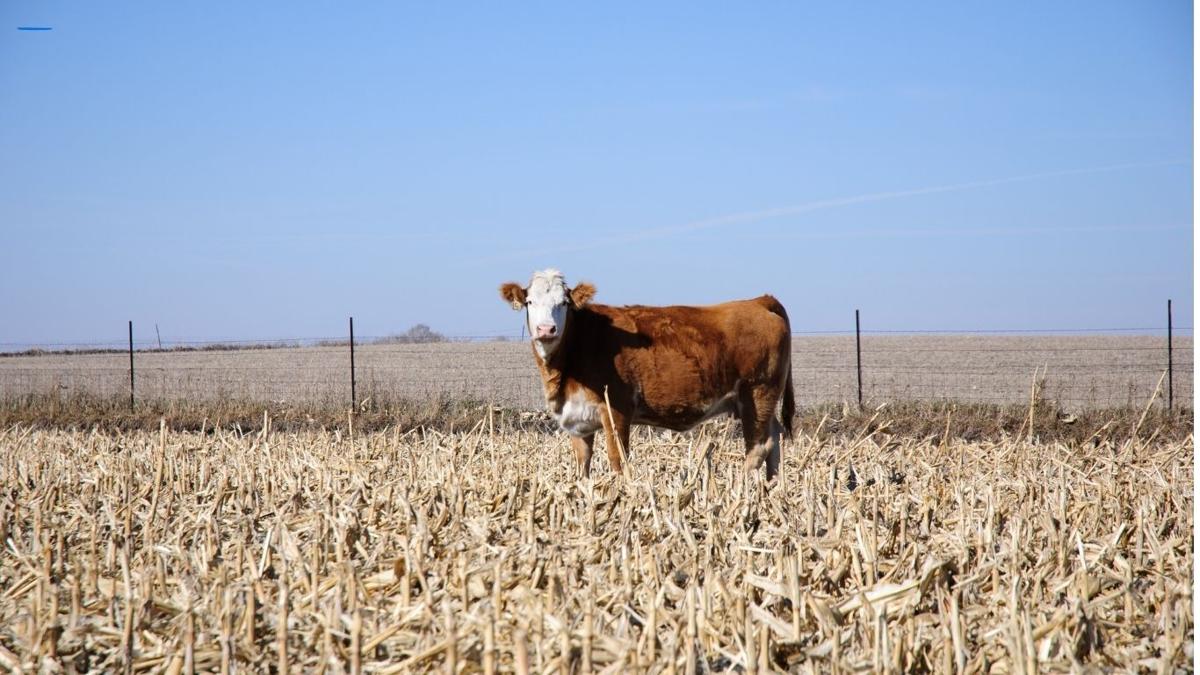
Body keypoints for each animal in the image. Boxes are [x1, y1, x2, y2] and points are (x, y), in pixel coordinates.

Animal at [499, 269, 794, 480]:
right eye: (529, 301)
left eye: (563, 303)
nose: (546, 329)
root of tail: (758, 301)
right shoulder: (577, 419)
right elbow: (582, 465)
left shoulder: (616, 410)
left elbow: (618, 461)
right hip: (761, 402)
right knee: (775, 438)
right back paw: (773, 487)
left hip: (757, 394)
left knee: (759, 448)